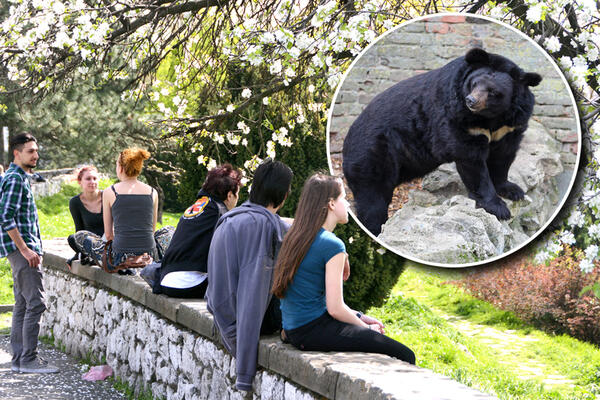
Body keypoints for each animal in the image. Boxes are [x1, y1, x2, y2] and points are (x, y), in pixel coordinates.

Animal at [342, 47, 544, 236]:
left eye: (493, 92)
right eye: (474, 83)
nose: (471, 100)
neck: (490, 117)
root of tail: (347, 141)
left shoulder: (511, 125)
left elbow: (503, 156)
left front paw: (513, 190)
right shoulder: (458, 117)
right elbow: (472, 161)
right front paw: (499, 208)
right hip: (373, 155)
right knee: (373, 199)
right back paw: (375, 229)